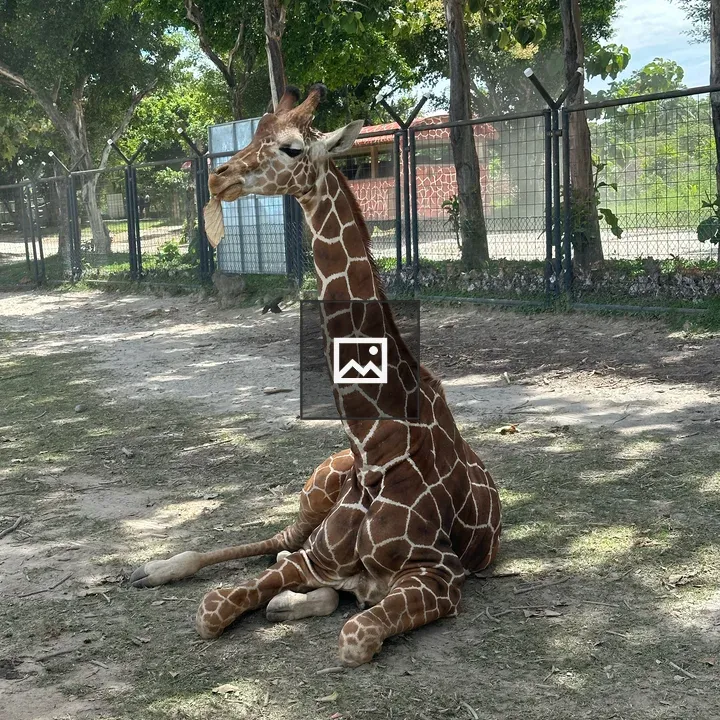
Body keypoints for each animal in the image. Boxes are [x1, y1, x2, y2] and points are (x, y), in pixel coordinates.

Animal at [129, 84, 501, 667]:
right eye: (255, 133)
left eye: (291, 148)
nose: (219, 178)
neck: (371, 448)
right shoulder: (315, 557)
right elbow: (211, 609)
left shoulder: (440, 572)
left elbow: (355, 636)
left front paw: (299, 603)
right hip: (312, 498)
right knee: (278, 539)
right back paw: (156, 567)